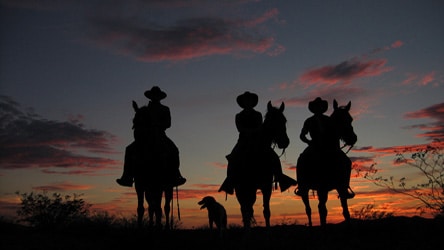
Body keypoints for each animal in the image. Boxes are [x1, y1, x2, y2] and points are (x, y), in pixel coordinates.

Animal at [232, 100, 292, 229]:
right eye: (270, 120)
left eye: (284, 120)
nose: (284, 142)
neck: (257, 154)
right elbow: (246, 211)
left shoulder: (266, 187)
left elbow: (266, 212)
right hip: (241, 190)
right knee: (244, 210)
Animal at [294, 99, 358, 227]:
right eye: (338, 119)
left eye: (350, 119)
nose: (352, 138)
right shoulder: (321, 188)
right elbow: (322, 211)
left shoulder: (341, 187)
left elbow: (345, 211)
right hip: (305, 189)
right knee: (309, 210)